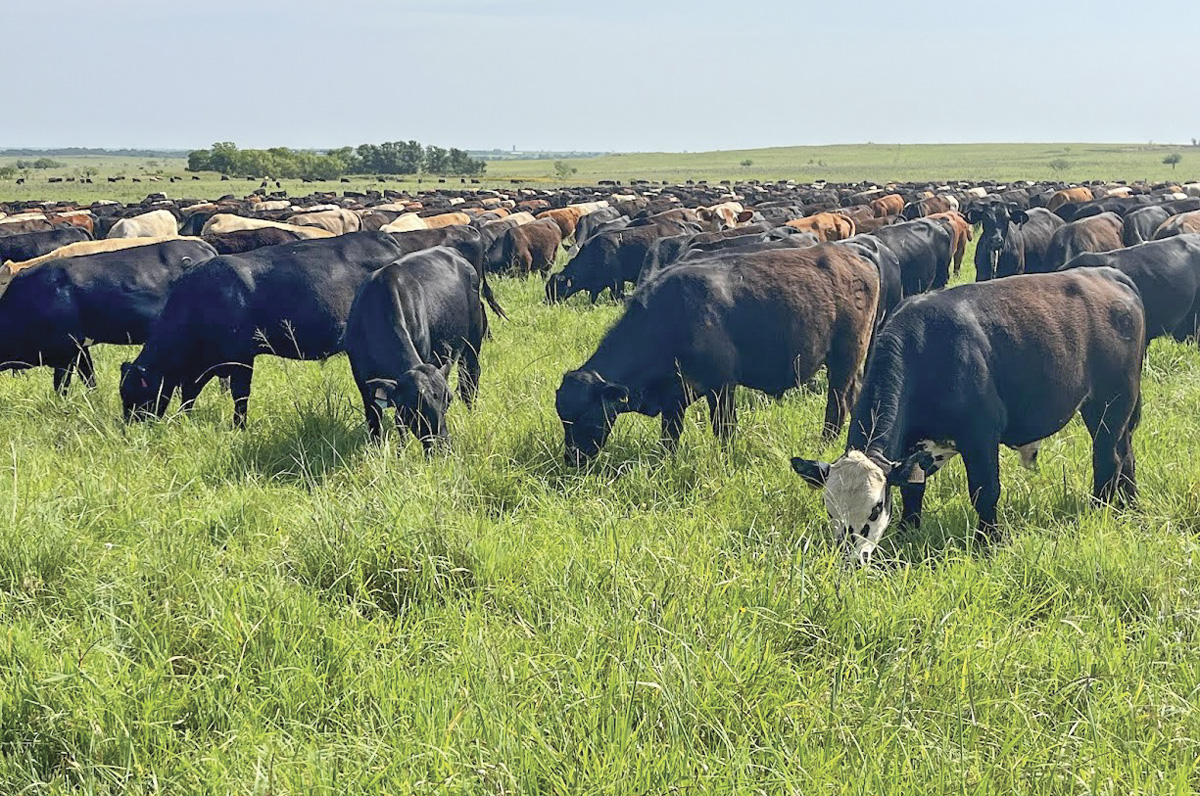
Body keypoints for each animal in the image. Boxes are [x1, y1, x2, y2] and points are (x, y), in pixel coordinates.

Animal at [120, 233, 410, 427]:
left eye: (135, 395)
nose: (130, 429)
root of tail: (383, 237)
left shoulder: (241, 357)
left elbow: (240, 395)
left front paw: (239, 427)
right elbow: (189, 394)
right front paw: (184, 420)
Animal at [345, 247, 486, 451]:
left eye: (448, 400)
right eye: (415, 407)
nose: (442, 445)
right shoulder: (363, 381)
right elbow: (375, 420)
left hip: (472, 344)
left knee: (470, 381)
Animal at [556, 244, 879, 464]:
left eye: (586, 416)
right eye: (563, 418)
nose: (573, 459)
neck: (669, 316)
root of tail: (853, 255)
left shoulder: (722, 386)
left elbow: (724, 429)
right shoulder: (675, 395)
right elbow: (670, 435)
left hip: (844, 360)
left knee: (837, 405)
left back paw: (824, 444)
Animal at [791, 268, 1144, 565]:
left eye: (876, 508)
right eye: (829, 508)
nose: (851, 560)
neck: (927, 350)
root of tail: (1108, 274)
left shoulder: (980, 434)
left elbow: (985, 491)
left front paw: (989, 542)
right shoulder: (914, 447)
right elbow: (912, 490)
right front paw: (908, 531)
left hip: (1111, 401)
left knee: (1108, 458)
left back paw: (1098, 509)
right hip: (1112, 410)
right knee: (1126, 453)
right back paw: (1130, 505)